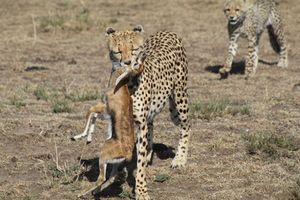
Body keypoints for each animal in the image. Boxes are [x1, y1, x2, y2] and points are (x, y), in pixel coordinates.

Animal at [105, 26, 190, 200]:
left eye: (133, 49)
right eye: (118, 51)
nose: (127, 63)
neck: (127, 83)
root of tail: (167, 31)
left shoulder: (140, 123)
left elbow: (140, 164)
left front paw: (141, 190)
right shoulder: (117, 121)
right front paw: (116, 176)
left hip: (179, 101)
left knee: (186, 126)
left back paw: (179, 159)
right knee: (151, 125)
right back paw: (149, 153)